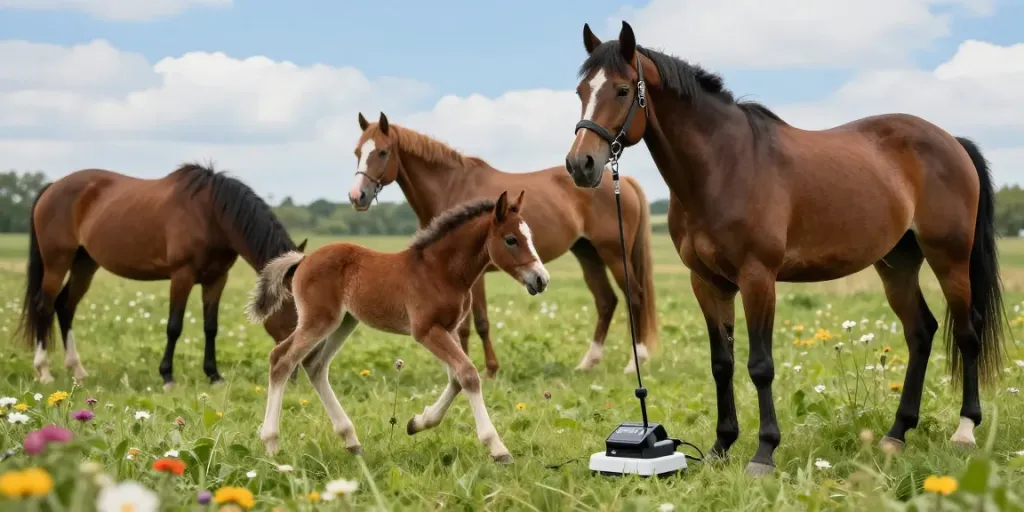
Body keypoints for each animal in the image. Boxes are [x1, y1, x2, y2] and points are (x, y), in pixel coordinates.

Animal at [16, 163, 307, 389]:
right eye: (294, 311)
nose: (294, 373)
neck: (210, 214)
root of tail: (52, 187)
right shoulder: (182, 276)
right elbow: (174, 326)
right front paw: (167, 376)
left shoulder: (216, 279)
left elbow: (211, 327)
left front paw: (214, 375)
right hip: (57, 262)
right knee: (45, 306)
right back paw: (44, 371)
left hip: (85, 264)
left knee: (66, 306)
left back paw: (77, 370)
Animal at [246, 191, 548, 463]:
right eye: (511, 239)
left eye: (531, 237)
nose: (541, 279)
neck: (441, 271)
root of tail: (303, 259)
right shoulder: (426, 331)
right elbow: (468, 374)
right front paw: (497, 448)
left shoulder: (448, 328)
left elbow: (456, 378)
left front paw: (417, 422)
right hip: (319, 320)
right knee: (282, 359)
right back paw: (271, 443)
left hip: (343, 321)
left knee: (314, 365)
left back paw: (351, 441)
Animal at [347, 111, 658, 376]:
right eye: (357, 153)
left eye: (382, 152)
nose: (356, 196)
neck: (452, 184)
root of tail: (624, 181)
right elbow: (466, 326)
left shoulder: (475, 276)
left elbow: (479, 323)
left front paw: (490, 370)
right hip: (587, 253)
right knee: (606, 301)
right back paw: (588, 363)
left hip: (614, 254)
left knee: (635, 296)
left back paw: (635, 361)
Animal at [563, 21, 1006, 476]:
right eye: (581, 90)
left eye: (620, 90)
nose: (581, 165)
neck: (724, 167)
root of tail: (951, 141)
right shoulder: (707, 282)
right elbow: (722, 364)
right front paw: (721, 446)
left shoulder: (758, 278)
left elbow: (760, 366)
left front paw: (764, 453)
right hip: (896, 265)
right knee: (920, 332)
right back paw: (896, 434)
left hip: (950, 259)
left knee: (968, 333)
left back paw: (965, 430)